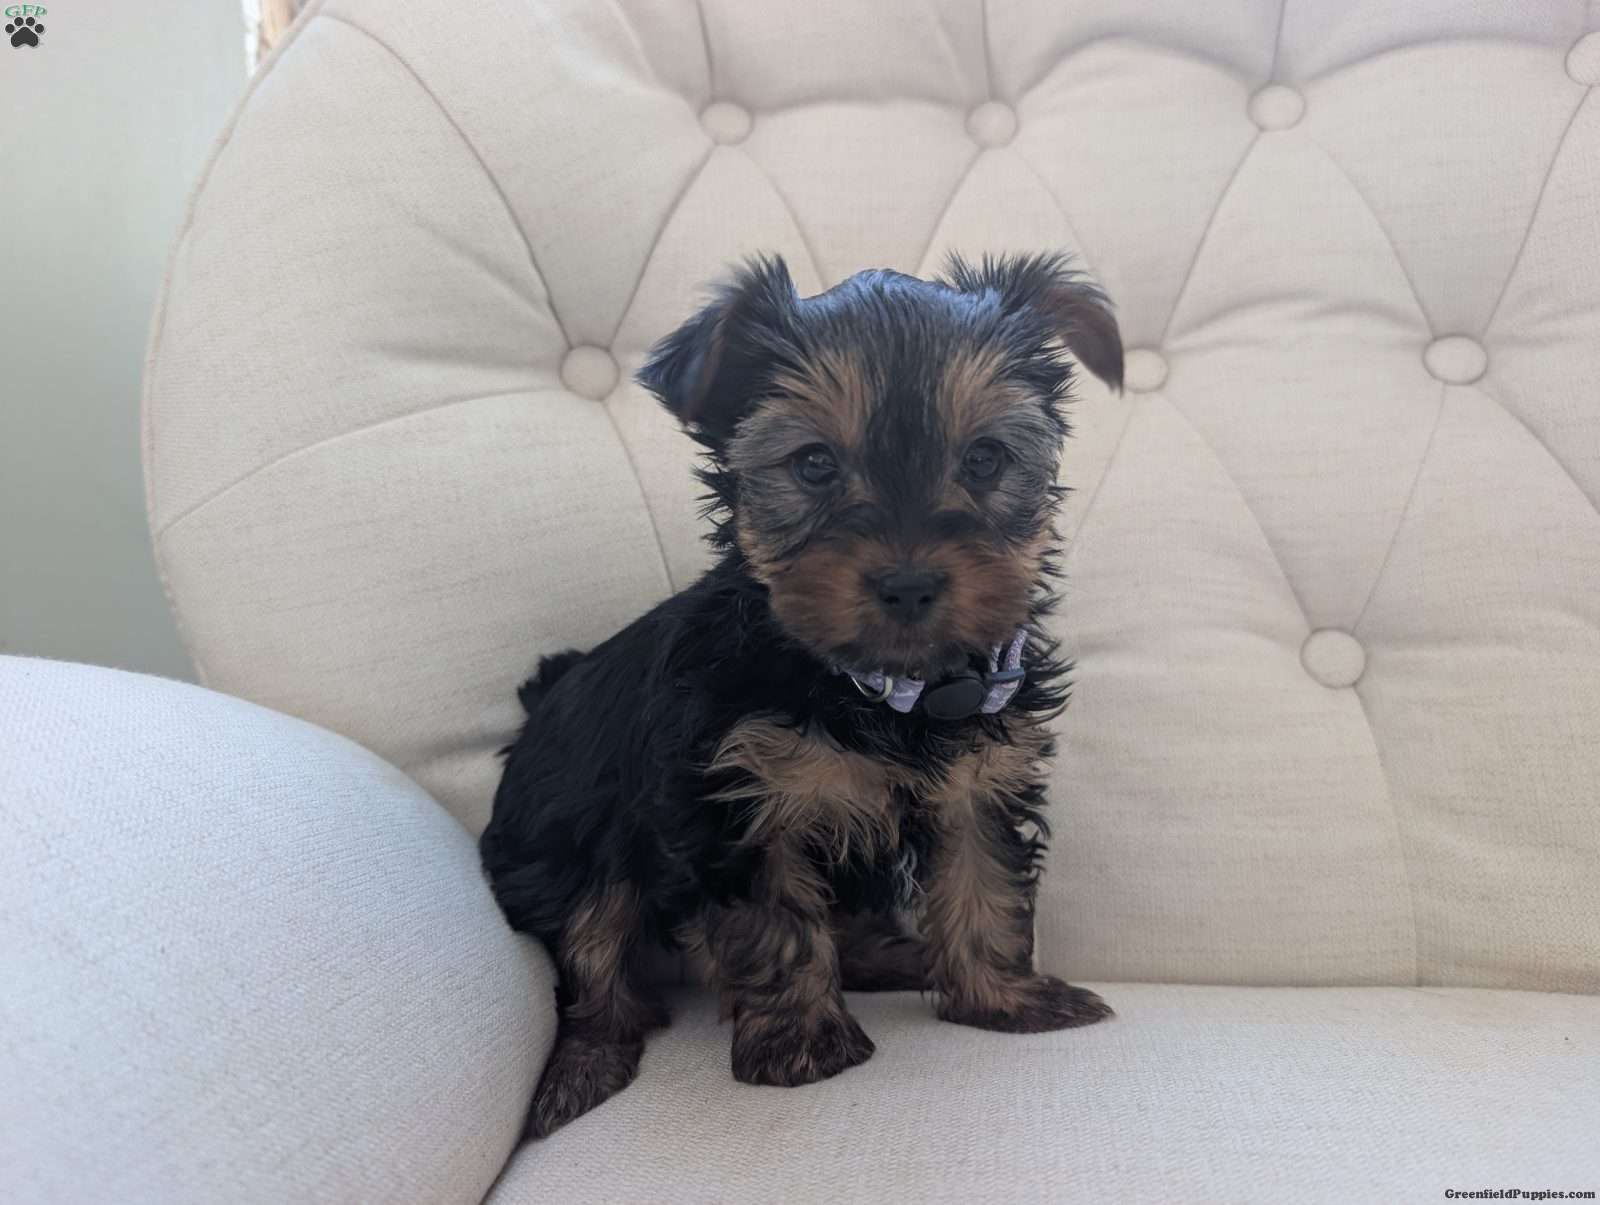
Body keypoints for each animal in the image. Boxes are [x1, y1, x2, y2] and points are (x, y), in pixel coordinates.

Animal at [481, 251, 1123, 1138]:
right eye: (815, 464)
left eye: (986, 458)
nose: (909, 582)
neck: (883, 688)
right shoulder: (741, 797)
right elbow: (776, 918)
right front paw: (800, 1043)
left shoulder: (978, 782)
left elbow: (983, 880)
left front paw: (1005, 997)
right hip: (567, 838)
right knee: (593, 949)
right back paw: (584, 1067)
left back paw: (897, 954)